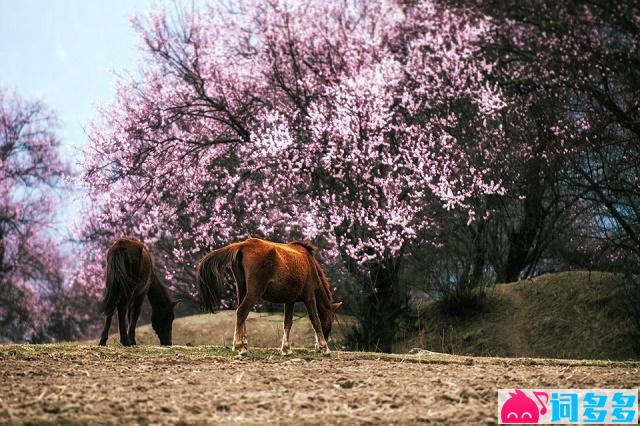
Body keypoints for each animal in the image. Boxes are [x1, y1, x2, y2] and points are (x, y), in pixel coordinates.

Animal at [198, 238, 342, 354]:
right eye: (331, 319)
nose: (322, 344)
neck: (310, 265)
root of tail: (243, 245)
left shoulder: (290, 301)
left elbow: (288, 323)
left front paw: (286, 349)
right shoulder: (309, 297)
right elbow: (315, 320)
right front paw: (325, 348)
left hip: (242, 289)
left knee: (241, 313)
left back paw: (242, 343)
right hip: (254, 292)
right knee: (242, 311)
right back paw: (239, 346)